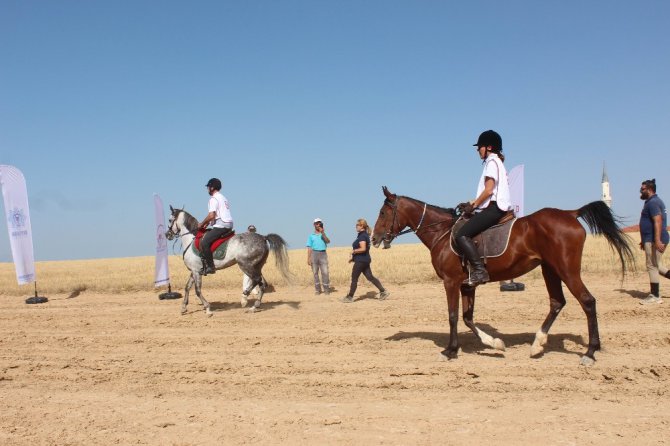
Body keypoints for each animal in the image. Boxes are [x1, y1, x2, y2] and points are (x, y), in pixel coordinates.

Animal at [372, 186, 636, 364]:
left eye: (383, 212)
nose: (374, 238)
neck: (442, 234)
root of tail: (570, 213)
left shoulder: (451, 282)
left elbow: (453, 316)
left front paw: (450, 351)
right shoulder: (468, 285)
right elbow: (467, 318)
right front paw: (495, 344)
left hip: (567, 270)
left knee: (587, 301)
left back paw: (590, 352)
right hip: (550, 269)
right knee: (557, 302)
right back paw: (537, 345)